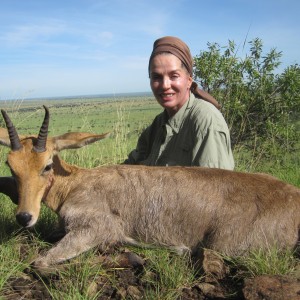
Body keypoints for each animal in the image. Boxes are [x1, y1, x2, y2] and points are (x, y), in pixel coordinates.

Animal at [0, 106, 298, 270]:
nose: (24, 216)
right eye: (10, 165)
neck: (77, 182)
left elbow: (39, 261)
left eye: (47, 165)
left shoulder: (96, 228)